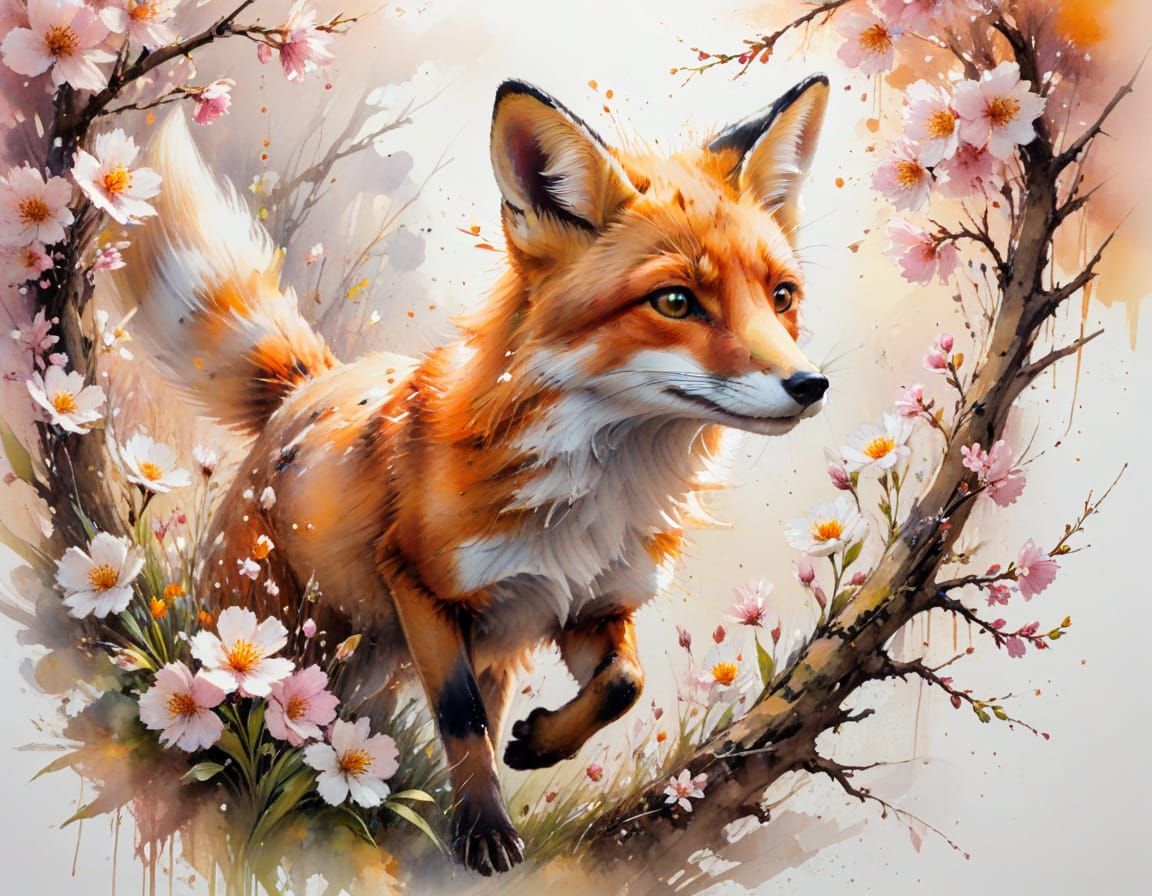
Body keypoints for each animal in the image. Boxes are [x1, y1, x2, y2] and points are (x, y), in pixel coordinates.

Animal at [117, 74, 832, 875]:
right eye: (676, 301)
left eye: (782, 296)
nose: (811, 385)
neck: (592, 503)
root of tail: (313, 383)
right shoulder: (420, 584)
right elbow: (460, 719)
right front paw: (484, 832)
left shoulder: (582, 606)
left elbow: (621, 684)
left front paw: (538, 744)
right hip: (273, 622)